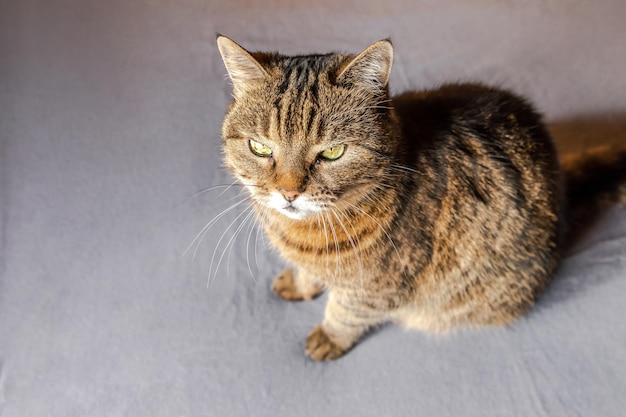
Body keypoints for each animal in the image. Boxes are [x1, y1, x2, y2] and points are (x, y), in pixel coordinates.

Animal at [214, 35, 624, 360]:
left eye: (333, 152)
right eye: (259, 148)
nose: (289, 191)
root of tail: (563, 184)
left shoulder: (376, 289)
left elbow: (345, 313)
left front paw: (329, 338)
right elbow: (308, 274)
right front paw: (301, 284)